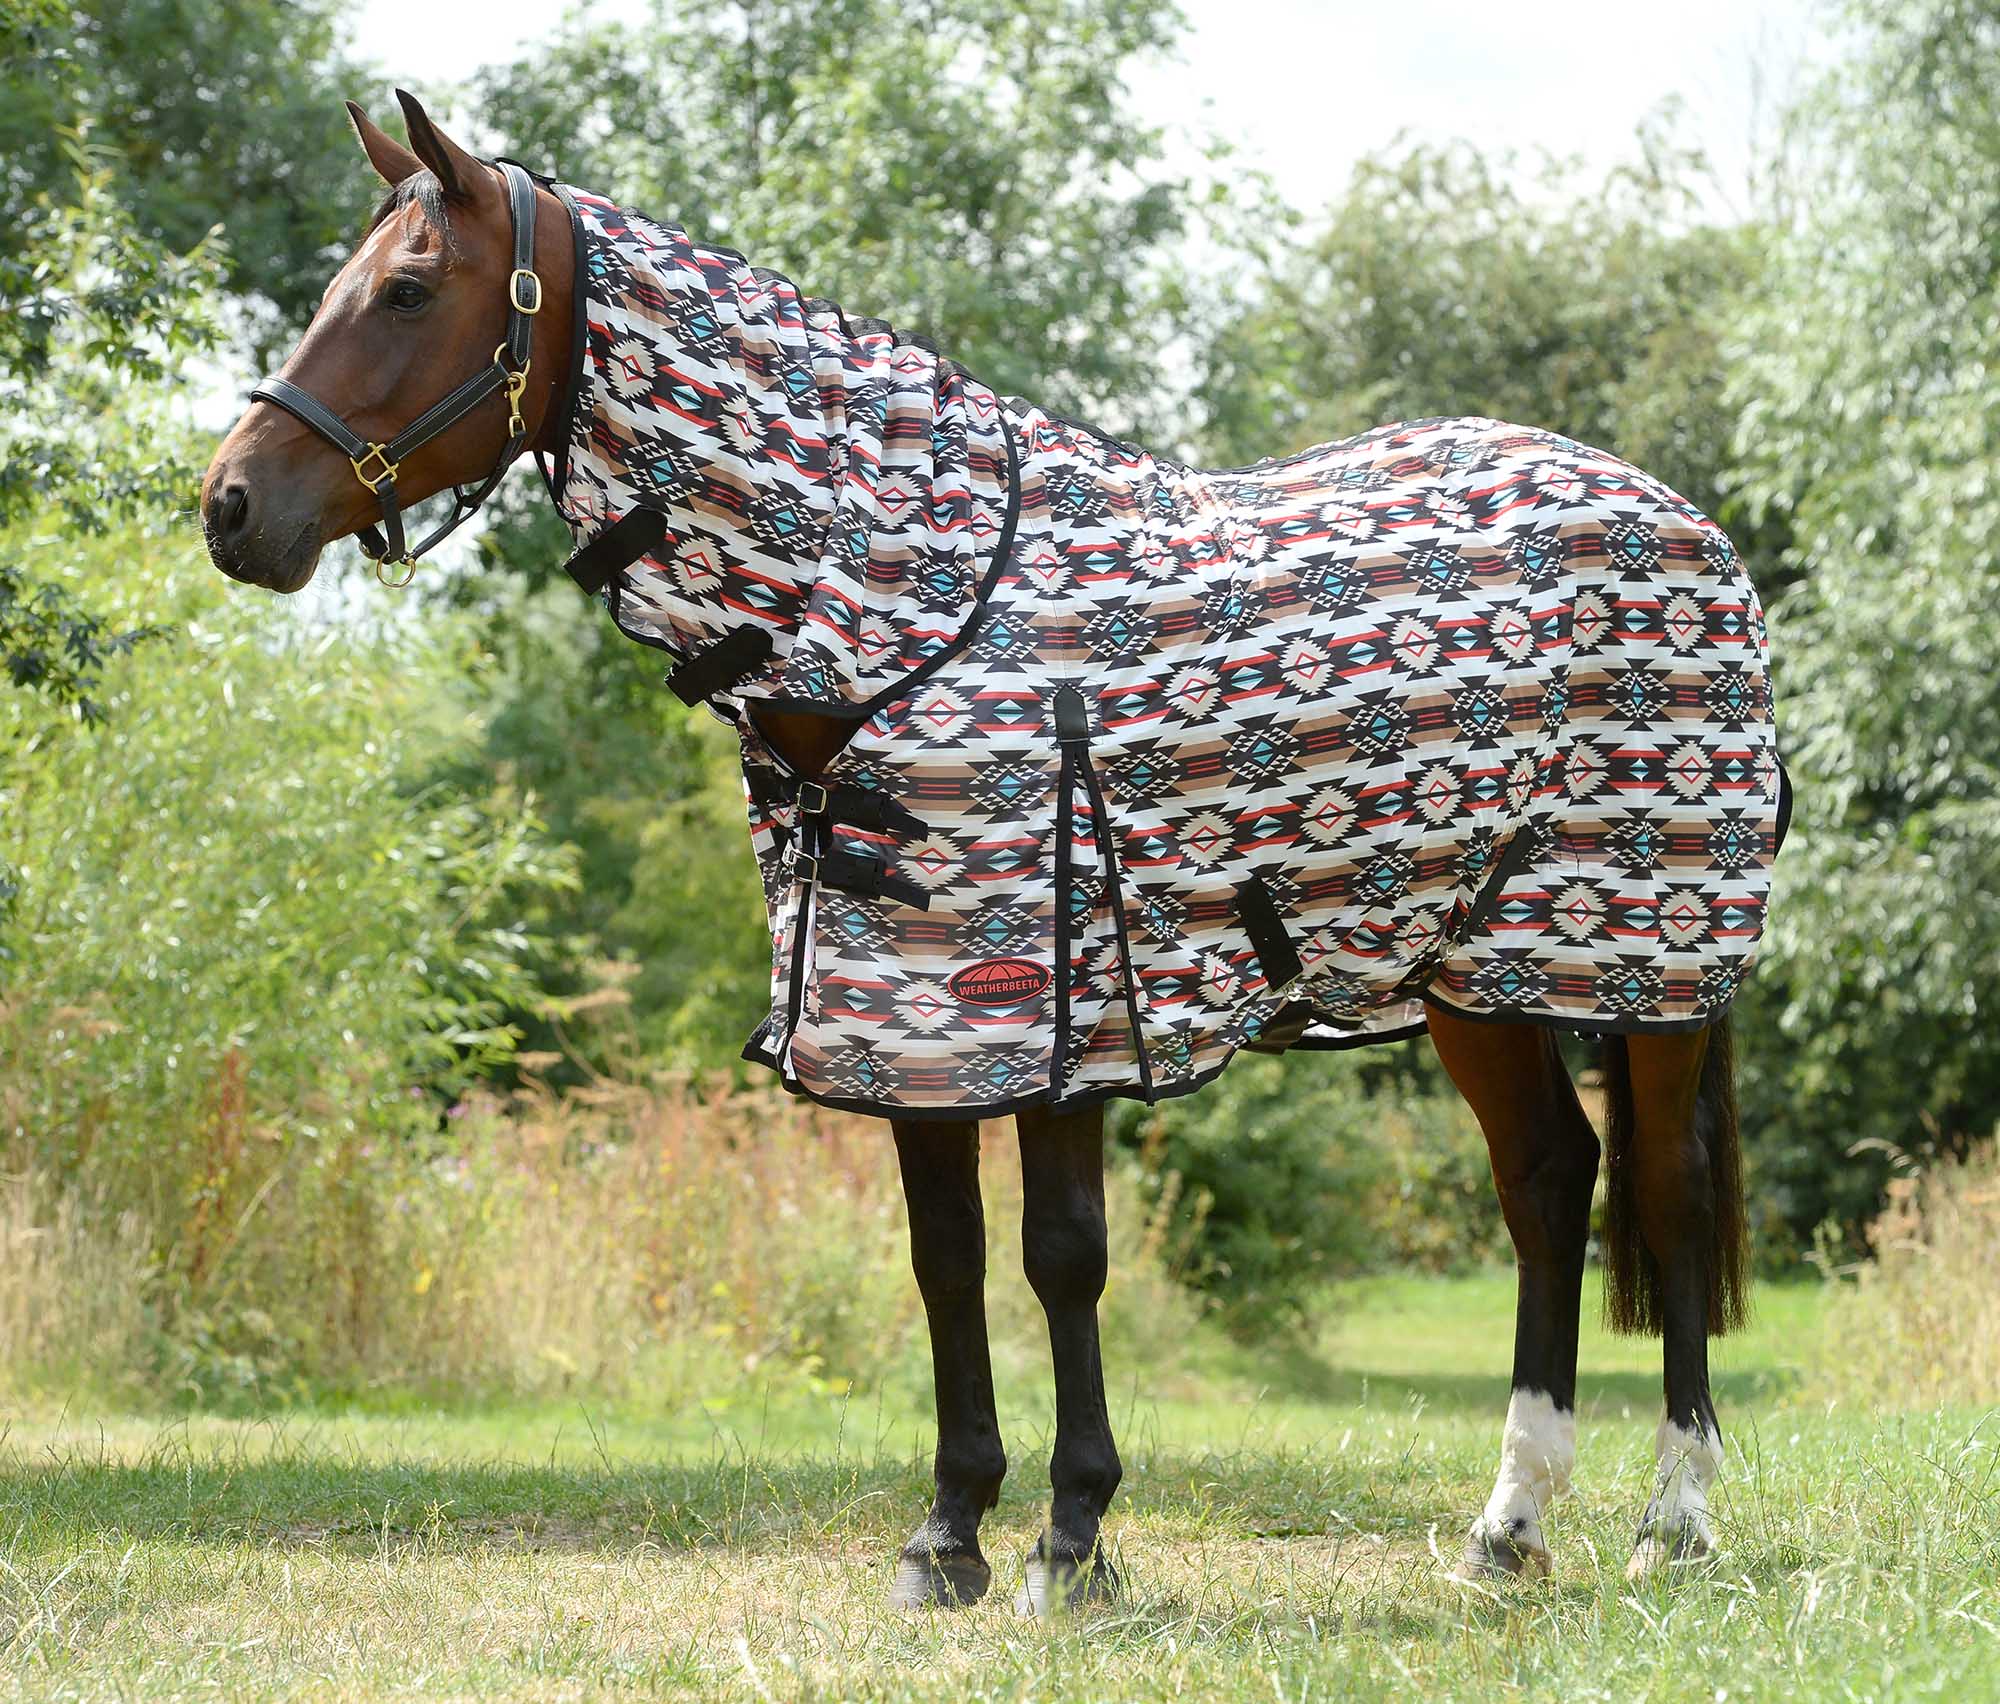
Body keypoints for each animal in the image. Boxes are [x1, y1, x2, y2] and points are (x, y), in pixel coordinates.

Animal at [201, 91, 1784, 1609]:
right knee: (1549, 1186)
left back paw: (1674, 1526)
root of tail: (1681, 520)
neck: (924, 612)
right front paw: (948, 1535)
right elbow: (944, 1259)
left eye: (408, 291)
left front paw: (1072, 1541)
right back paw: (1506, 1531)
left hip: (1649, 963)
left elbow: (1061, 1258)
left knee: (1665, 1198)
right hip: (1474, 975)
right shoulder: (902, 1016)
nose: (230, 507)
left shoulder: (1065, 1001)